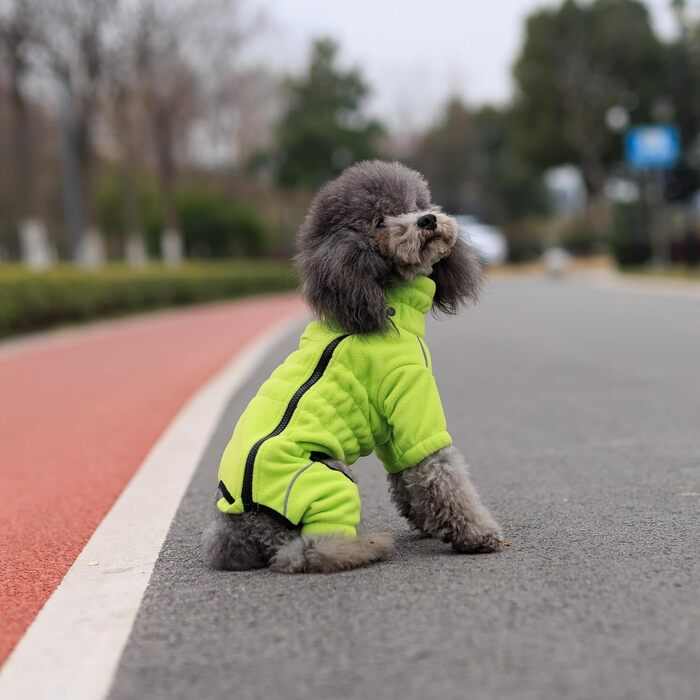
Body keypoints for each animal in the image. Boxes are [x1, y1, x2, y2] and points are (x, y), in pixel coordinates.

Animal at [202, 160, 504, 576]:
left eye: (416, 204)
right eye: (379, 221)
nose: (427, 220)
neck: (382, 300)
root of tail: (239, 529)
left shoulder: (394, 428)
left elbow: (406, 474)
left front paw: (428, 522)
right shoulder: (412, 400)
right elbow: (440, 471)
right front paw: (477, 534)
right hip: (326, 477)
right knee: (309, 553)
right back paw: (367, 546)